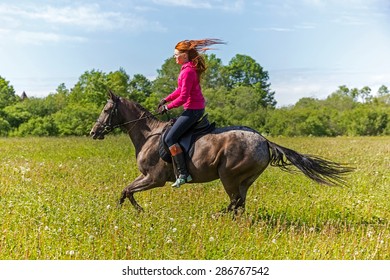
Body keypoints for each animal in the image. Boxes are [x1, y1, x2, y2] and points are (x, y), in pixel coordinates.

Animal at [89, 91, 354, 213]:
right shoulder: (146, 177)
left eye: (106, 109)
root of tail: (264, 140)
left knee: (234, 202)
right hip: (245, 179)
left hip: (228, 175)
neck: (149, 135)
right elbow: (125, 191)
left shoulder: (154, 178)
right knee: (240, 204)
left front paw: (136, 212)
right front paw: (129, 212)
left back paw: (216, 215)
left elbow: (127, 190)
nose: (93, 132)